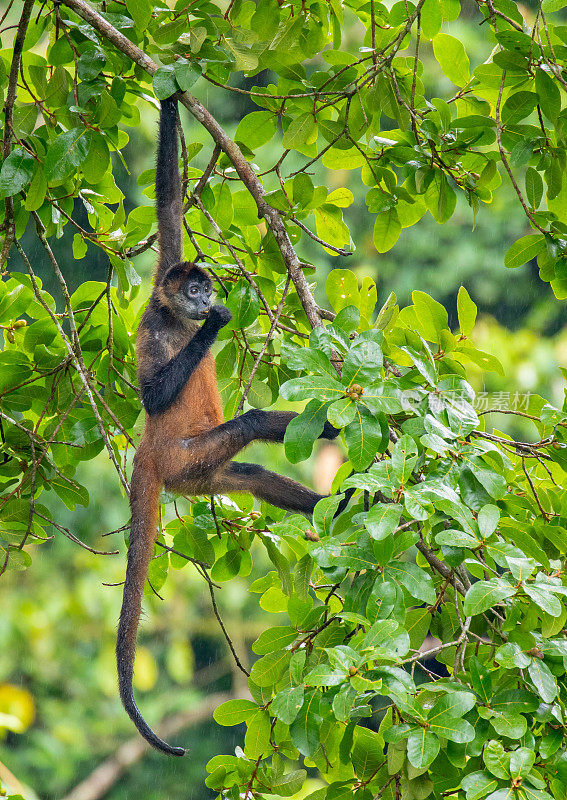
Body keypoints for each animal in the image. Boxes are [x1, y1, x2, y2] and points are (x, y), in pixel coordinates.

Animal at [116, 95, 342, 756]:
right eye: (193, 291)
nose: (204, 297)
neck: (171, 317)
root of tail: (150, 454)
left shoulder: (165, 263)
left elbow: (169, 205)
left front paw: (172, 92)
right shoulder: (150, 326)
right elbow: (152, 391)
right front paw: (217, 324)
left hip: (206, 475)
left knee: (250, 473)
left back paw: (338, 501)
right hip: (188, 456)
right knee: (250, 421)